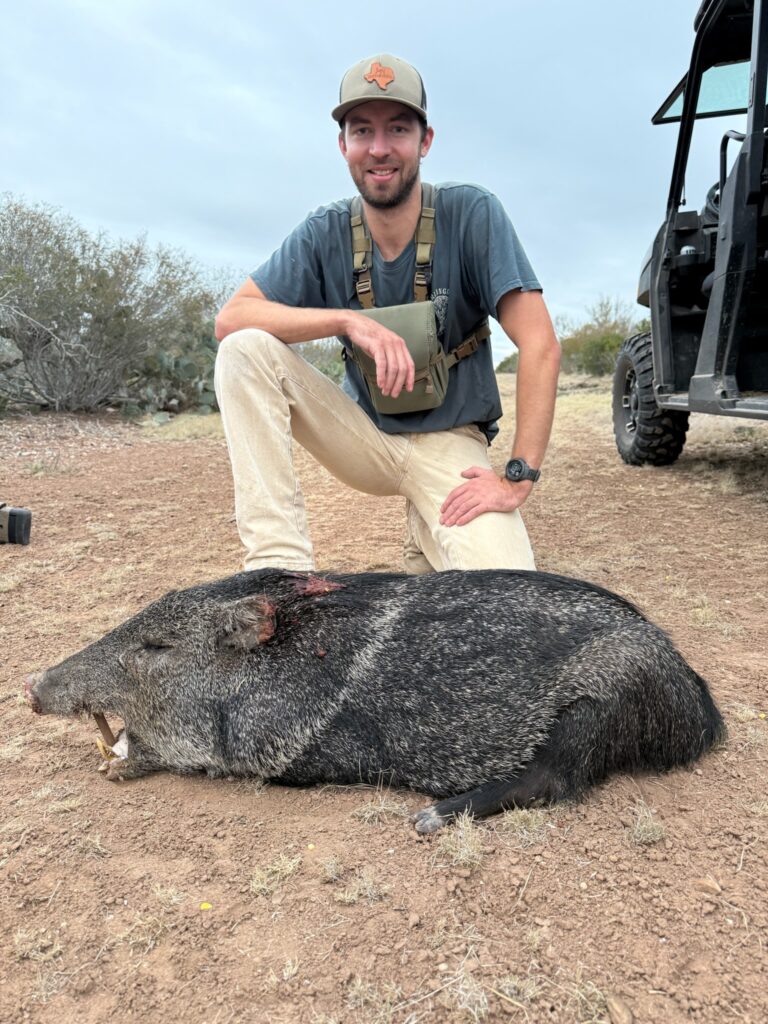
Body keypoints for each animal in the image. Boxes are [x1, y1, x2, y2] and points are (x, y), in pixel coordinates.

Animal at [25, 568, 726, 833]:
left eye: (156, 646)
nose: (32, 686)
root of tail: (700, 711)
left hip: (607, 692)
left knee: (554, 777)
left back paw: (435, 816)